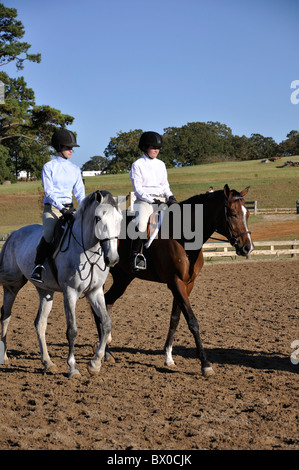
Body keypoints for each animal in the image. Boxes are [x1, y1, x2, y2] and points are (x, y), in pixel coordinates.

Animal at [95, 185, 254, 378]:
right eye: (232, 214)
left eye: (247, 214)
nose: (247, 247)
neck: (183, 236)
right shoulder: (176, 283)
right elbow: (192, 321)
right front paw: (205, 364)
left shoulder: (187, 284)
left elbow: (175, 319)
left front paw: (169, 357)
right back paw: (105, 352)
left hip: (123, 278)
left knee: (107, 302)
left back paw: (107, 350)